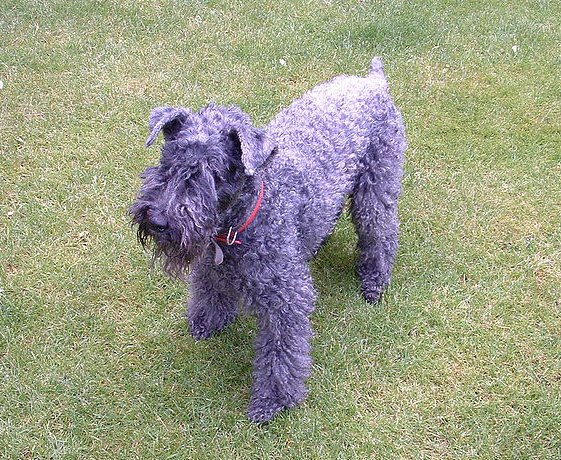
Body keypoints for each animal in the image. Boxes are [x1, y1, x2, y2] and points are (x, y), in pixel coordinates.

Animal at [131, 55, 406, 422]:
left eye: (212, 173)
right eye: (168, 161)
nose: (160, 219)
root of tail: (374, 81)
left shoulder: (285, 299)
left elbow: (281, 353)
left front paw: (273, 400)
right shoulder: (211, 265)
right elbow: (208, 290)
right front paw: (206, 322)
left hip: (375, 190)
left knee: (381, 232)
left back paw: (375, 281)